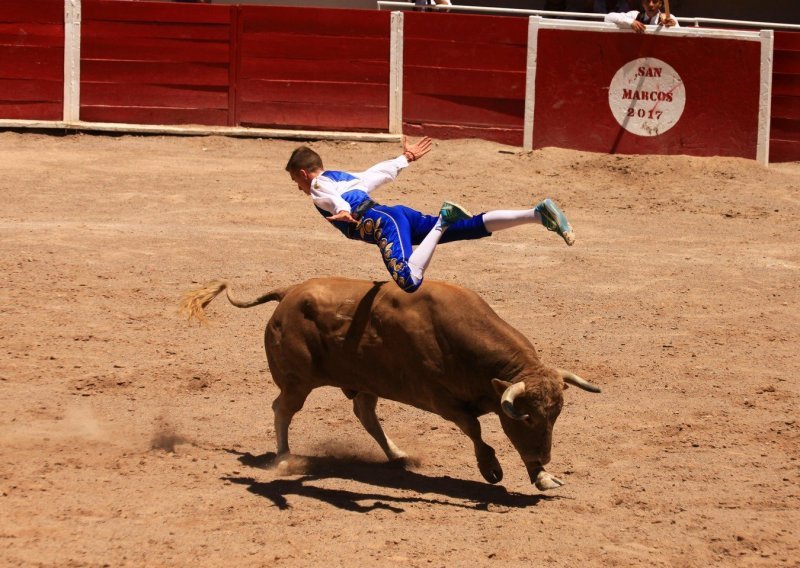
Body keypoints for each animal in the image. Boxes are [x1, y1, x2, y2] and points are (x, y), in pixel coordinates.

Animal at [178, 278, 596, 490]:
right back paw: (284, 457)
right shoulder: (440, 399)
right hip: (296, 382)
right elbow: (474, 429)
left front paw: (542, 475)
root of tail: (288, 294)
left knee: (364, 412)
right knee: (283, 409)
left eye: (555, 416)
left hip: (362, 381)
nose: (545, 457)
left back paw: (397, 455)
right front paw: (491, 468)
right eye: (527, 417)